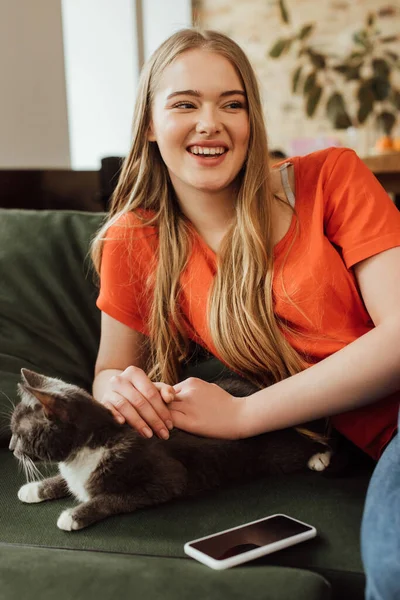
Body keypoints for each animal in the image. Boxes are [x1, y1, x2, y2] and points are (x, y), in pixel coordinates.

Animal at [10, 368, 332, 532]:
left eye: (20, 434)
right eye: (12, 430)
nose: (12, 448)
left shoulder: (165, 478)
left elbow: (113, 498)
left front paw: (74, 515)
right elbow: (66, 481)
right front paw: (35, 488)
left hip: (275, 446)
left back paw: (320, 457)